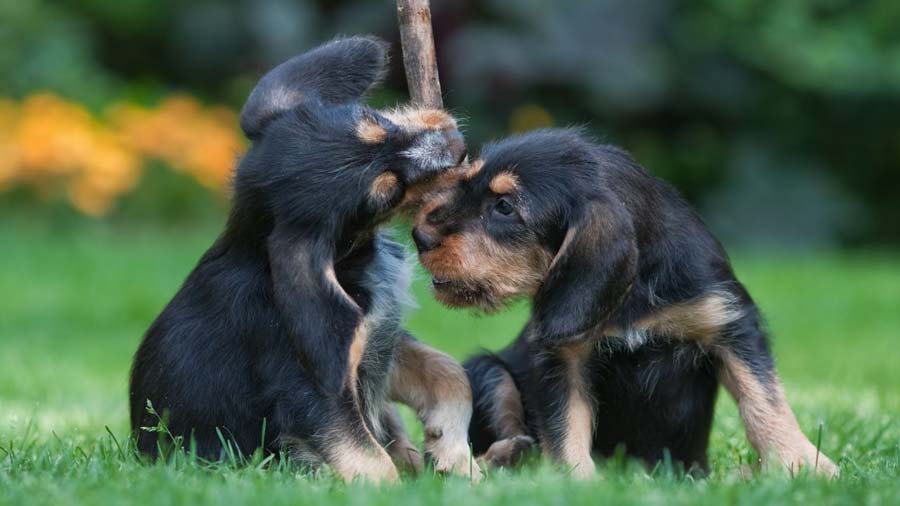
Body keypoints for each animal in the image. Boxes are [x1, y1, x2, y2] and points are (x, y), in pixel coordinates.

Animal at [131, 36, 482, 482]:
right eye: (386, 194)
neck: (350, 260)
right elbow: (367, 459)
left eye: (373, 119)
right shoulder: (312, 390)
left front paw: (452, 451)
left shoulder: (378, 342)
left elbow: (449, 372)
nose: (457, 144)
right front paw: (404, 483)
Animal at [412, 127, 840, 478]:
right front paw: (577, 480)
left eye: (504, 207)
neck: (633, 295)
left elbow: (764, 399)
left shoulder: (730, 323)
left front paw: (802, 463)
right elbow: (566, 421)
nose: (419, 235)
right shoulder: (562, 356)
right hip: (486, 369)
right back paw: (505, 458)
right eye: (465, 183)